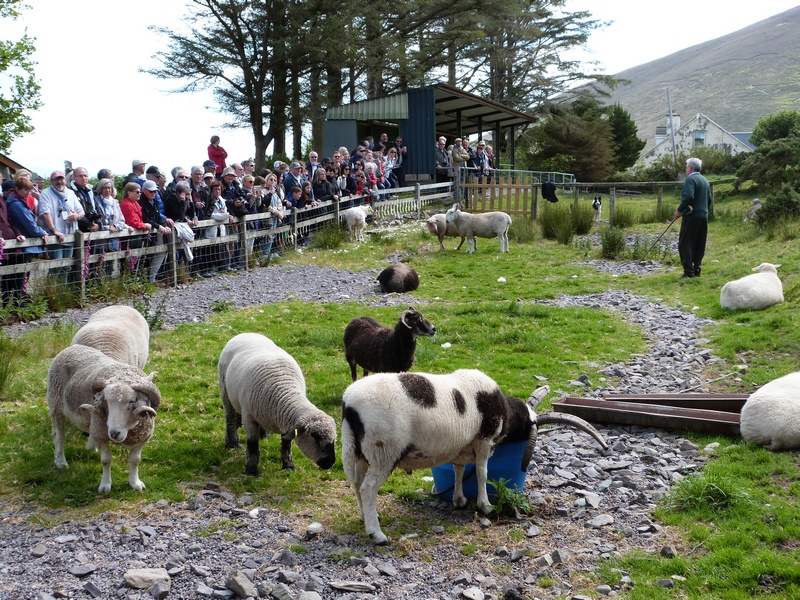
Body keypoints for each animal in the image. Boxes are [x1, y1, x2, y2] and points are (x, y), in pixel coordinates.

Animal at [47, 342, 162, 492]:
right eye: (106, 401)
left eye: (132, 401)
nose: (114, 433)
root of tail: (73, 347)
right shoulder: (102, 435)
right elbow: (106, 460)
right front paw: (105, 485)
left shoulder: (143, 437)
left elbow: (135, 460)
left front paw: (135, 483)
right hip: (56, 405)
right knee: (59, 436)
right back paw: (61, 461)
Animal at [217, 330, 336, 476]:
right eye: (315, 436)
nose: (330, 462)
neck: (286, 392)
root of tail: (246, 333)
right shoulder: (249, 418)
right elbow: (252, 445)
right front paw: (251, 471)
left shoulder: (286, 422)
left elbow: (286, 443)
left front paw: (288, 466)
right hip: (225, 392)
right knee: (230, 418)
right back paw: (232, 443)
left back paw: (263, 436)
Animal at [340, 368, 608, 548]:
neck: (504, 409)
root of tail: (350, 405)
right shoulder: (484, 441)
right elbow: (481, 473)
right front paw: (485, 505)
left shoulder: (462, 447)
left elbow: (459, 470)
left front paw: (458, 500)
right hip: (384, 450)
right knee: (368, 488)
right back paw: (377, 534)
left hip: (358, 452)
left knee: (357, 485)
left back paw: (367, 517)